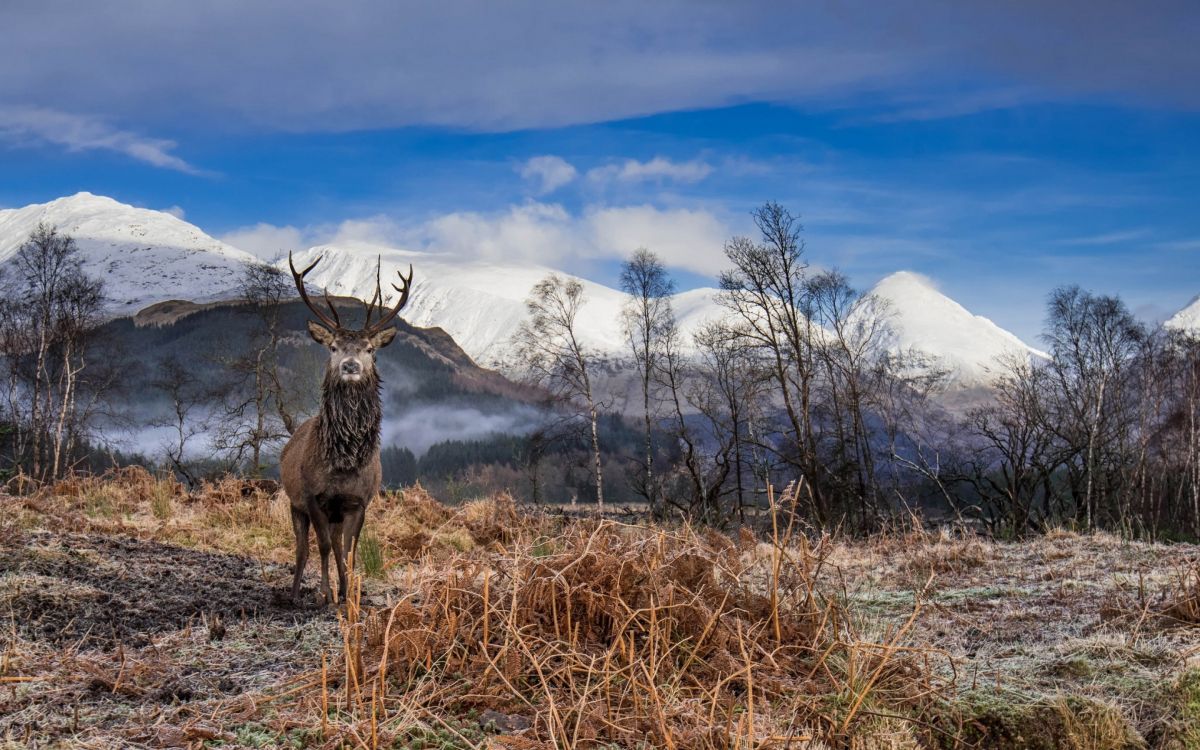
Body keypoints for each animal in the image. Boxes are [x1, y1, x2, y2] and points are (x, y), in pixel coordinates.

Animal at [281, 252, 413, 606]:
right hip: (294, 503)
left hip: (337, 513)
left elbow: (350, 551)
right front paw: (326, 593)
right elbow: (324, 547)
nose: (350, 365)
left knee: (338, 544)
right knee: (303, 549)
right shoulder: (313, 497)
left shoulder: (358, 501)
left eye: (370, 349)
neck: (343, 463)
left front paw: (349, 593)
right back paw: (294, 593)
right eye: (333, 347)